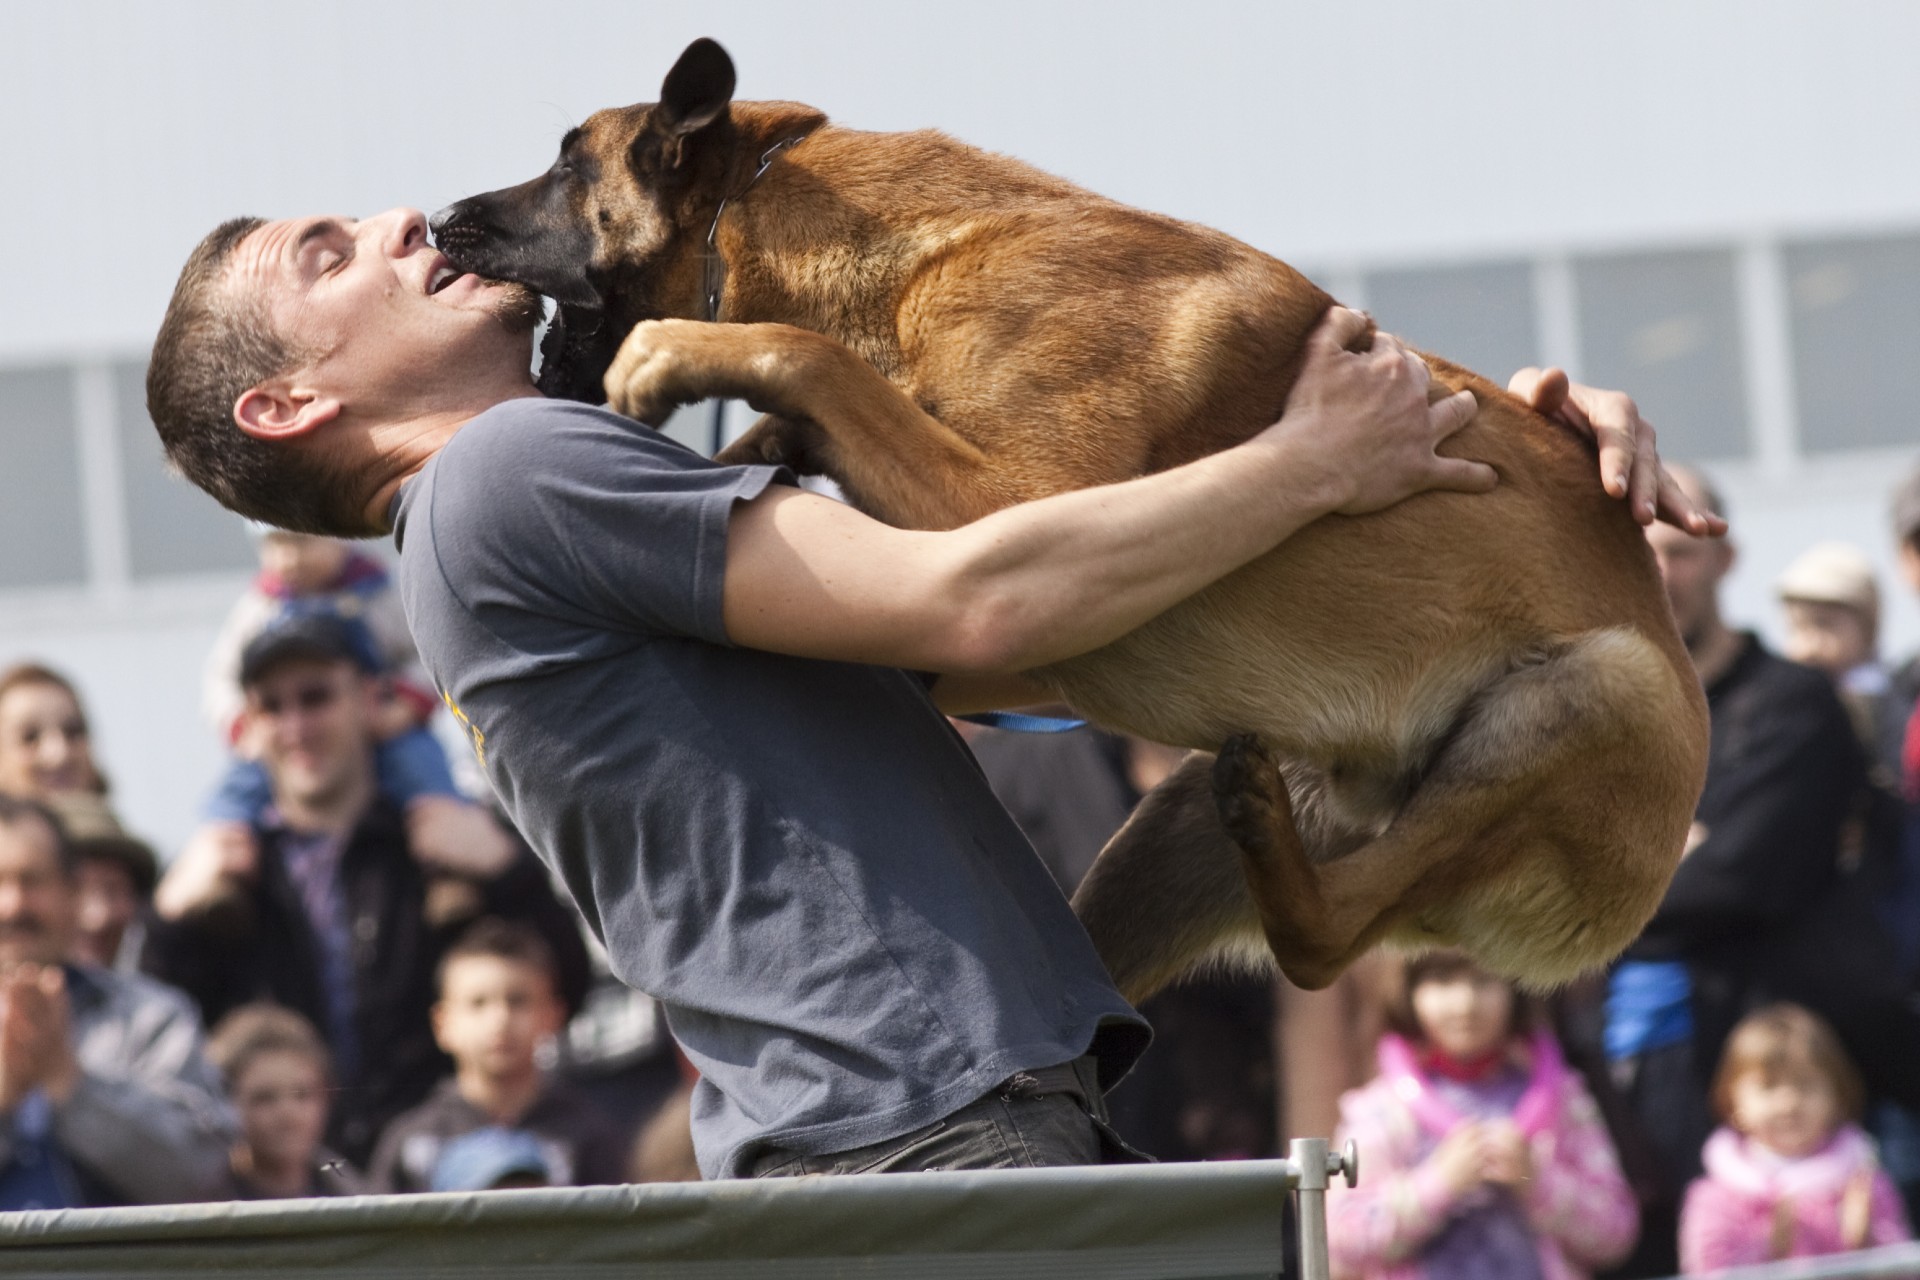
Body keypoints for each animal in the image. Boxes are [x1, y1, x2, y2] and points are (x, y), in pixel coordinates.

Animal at [435, 37, 1712, 997]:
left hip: (1595, 691)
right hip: (1161, 839)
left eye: (565, 166)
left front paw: (680, 365)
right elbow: (803, 421)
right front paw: (752, 443)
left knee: (1322, 940)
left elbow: (805, 361)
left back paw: (1274, 841)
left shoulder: (1020, 502)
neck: (909, 260)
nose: (442, 218)